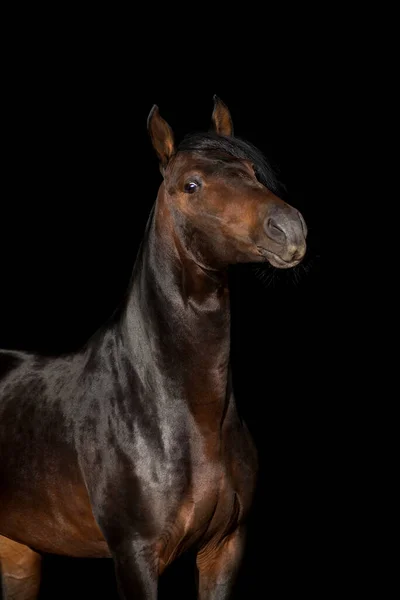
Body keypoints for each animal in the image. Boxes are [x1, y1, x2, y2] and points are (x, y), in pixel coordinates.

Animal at [0, 96, 308, 596]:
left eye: (251, 170)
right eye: (191, 185)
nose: (289, 229)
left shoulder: (224, 549)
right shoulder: (135, 555)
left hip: (18, 552)